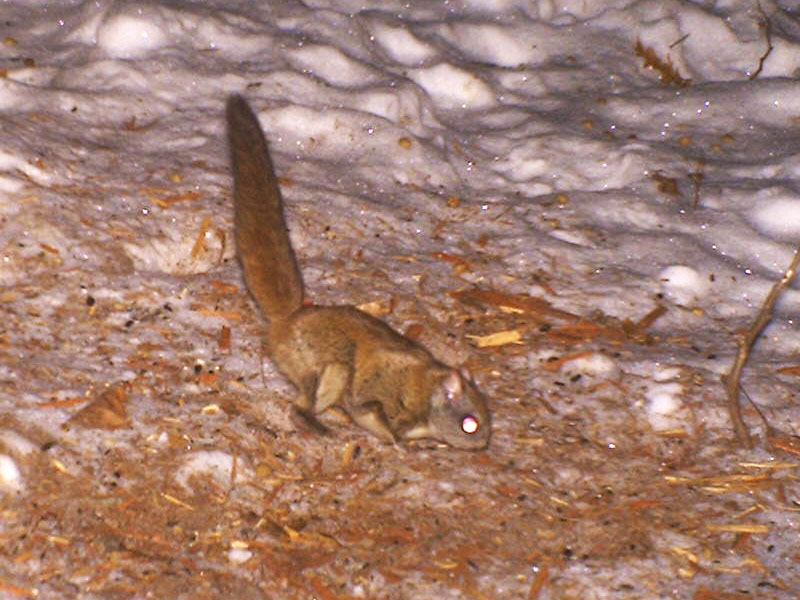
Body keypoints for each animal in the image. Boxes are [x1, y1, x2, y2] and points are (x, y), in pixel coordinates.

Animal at [226, 94, 490, 450]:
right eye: (470, 425)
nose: (484, 443)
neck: (426, 391)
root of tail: (288, 321)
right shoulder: (384, 396)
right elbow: (370, 411)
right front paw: (395, 438)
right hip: (327, 367)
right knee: (299, 406)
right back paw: (316, 424)